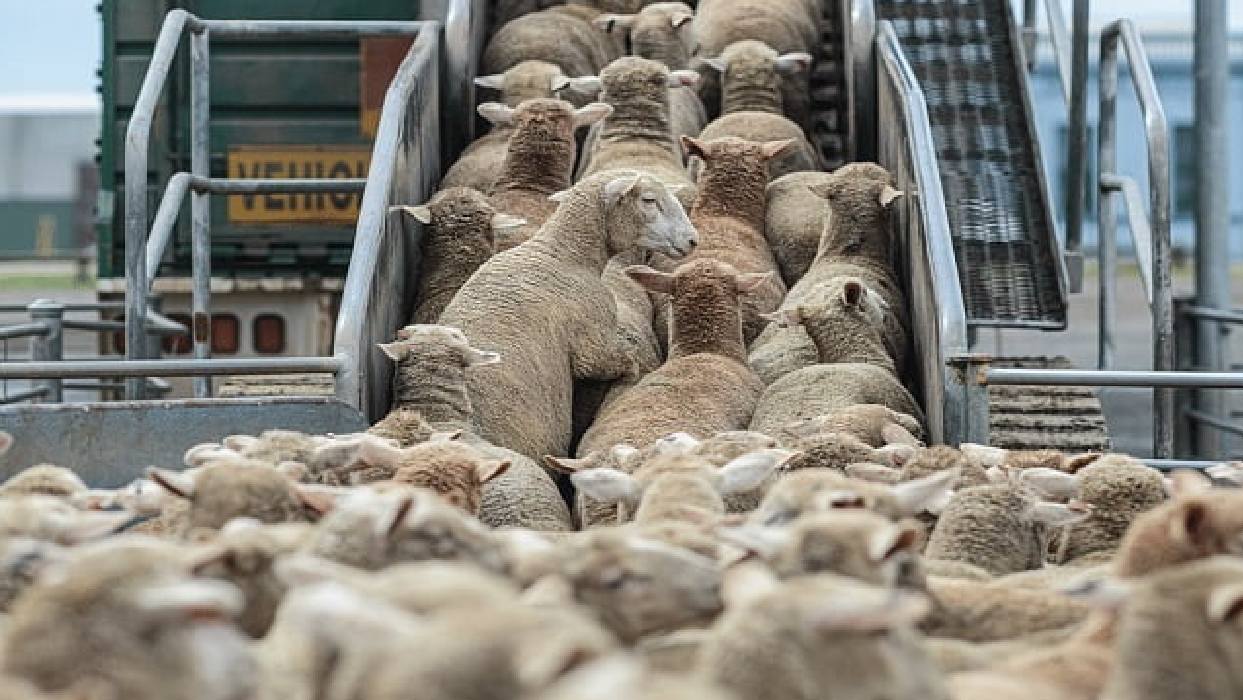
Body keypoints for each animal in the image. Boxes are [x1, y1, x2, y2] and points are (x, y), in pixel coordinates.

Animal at [437, 171, 697, 462]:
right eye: (649, 200)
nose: (693, 240)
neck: (562, 253)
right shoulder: (593, 341)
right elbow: (615, 360)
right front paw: (632, 369)